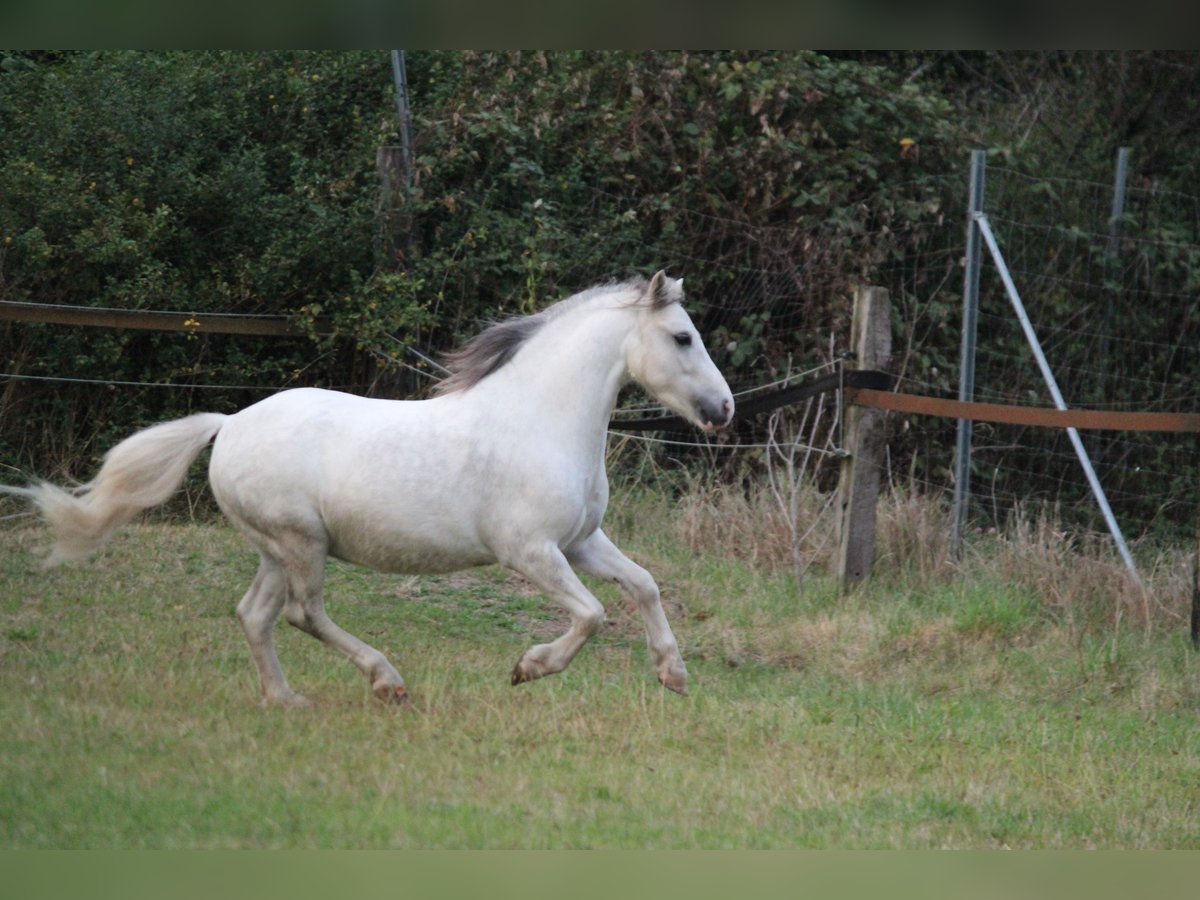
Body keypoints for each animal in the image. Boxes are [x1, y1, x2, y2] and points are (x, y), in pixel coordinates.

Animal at [2, 271, 734, 707]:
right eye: (682, 336)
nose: (724, 409)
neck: (540, 420)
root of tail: (228, 424)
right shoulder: (530, 552)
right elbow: (591, 614)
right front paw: (528, 667)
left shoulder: (581, 542)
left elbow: (643, 585)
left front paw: (673, 674)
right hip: (300, 541)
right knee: (302, 615)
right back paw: (387, 681)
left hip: (276, 547)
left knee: (255, 614)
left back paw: (285, 701)